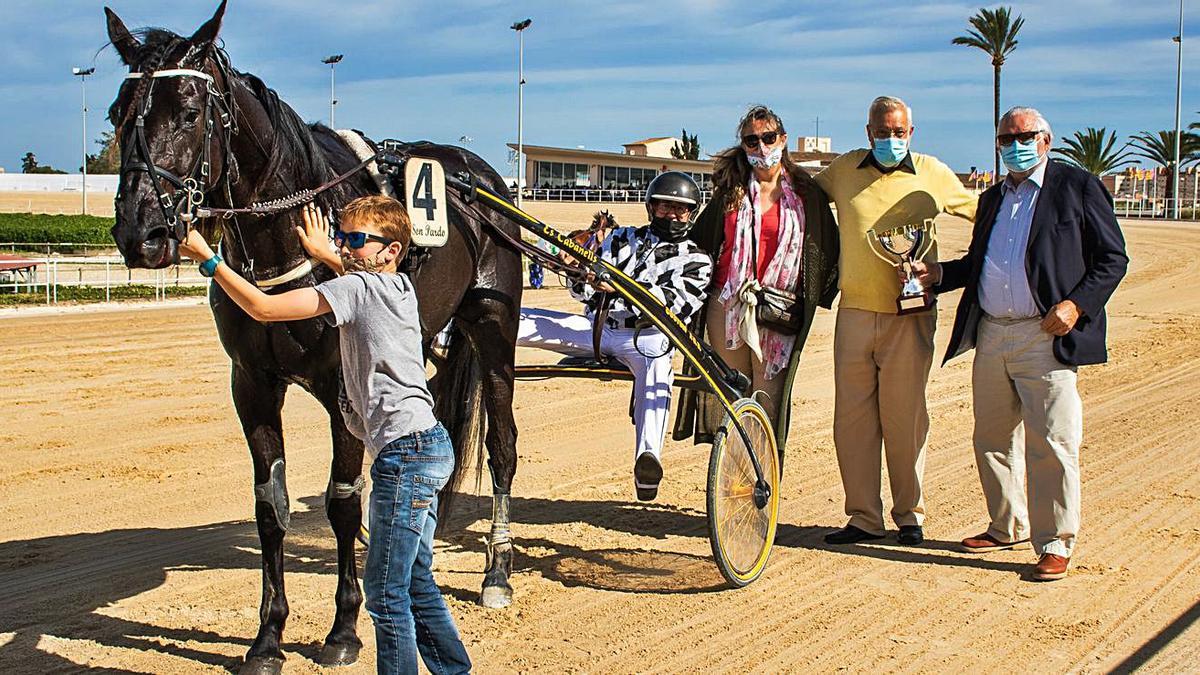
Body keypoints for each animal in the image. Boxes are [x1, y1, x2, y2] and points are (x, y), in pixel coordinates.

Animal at [110, 2, 523, 667]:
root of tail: (478, 177)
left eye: (190, 112)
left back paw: (497, 573)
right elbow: (270, 505)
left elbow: (342, 500)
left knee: (501, 444)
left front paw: (343, 631)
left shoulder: (345, 385)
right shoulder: (252, 383)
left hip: (493, 325)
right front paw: (268, 637)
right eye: (118, 114)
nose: (139, 231)